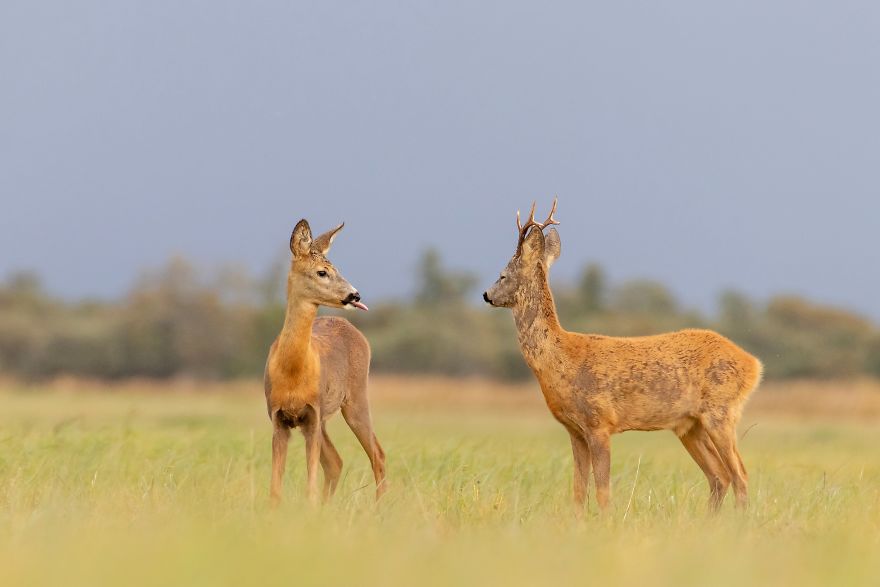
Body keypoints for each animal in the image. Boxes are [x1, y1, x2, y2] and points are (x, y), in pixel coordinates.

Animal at [264, 219, 386, 506]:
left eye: (337, 269)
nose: (355, 295)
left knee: (378, 455)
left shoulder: (313, 413)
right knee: (336, 462)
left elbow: (310, 484)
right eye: (322, 272)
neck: (293, 373)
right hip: (326, 419)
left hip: (356, 398)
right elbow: (275, 488)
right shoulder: (278, 418)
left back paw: (380, 509)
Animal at [482, 199, 763, 513]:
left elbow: (603, 490)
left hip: (721, 412)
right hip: (690, 425)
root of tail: (753, 364)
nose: (486, 294)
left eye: (503, 274)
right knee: (719, 476)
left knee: (740, 474)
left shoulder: (599, 423)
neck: (561, 359)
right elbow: (578, 490)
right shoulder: (575, 430)